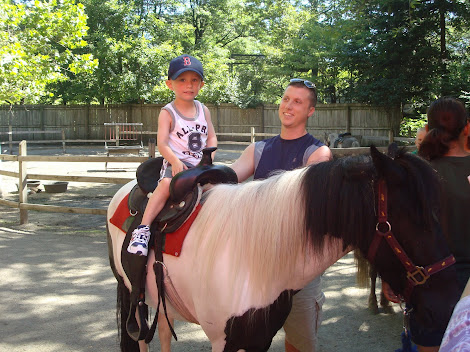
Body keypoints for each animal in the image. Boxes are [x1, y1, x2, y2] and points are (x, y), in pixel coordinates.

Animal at [106, 144, 458, 350]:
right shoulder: (223, 339)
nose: (446, 306)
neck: (247, 254)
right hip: (130, 292)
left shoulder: (258, 338)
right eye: (416, 218)